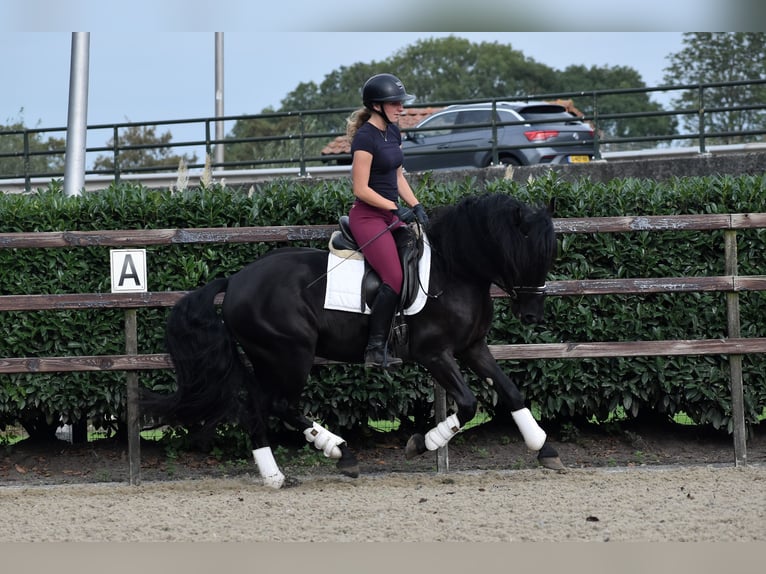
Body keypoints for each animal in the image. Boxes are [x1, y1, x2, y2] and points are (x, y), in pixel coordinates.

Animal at [142, 191, 564, 488]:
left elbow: (510, 391)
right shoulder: (435, 354)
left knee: (258, 408)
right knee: (279, 404)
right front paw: (422, 444)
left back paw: (278, 475)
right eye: (525, 255)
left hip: (269, 359)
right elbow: (467, 403)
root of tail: (235, 281)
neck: (454, 270)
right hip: (290, 354)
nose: (532, 315)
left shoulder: (472, 348)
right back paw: (337, 452)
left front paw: (545, 449)